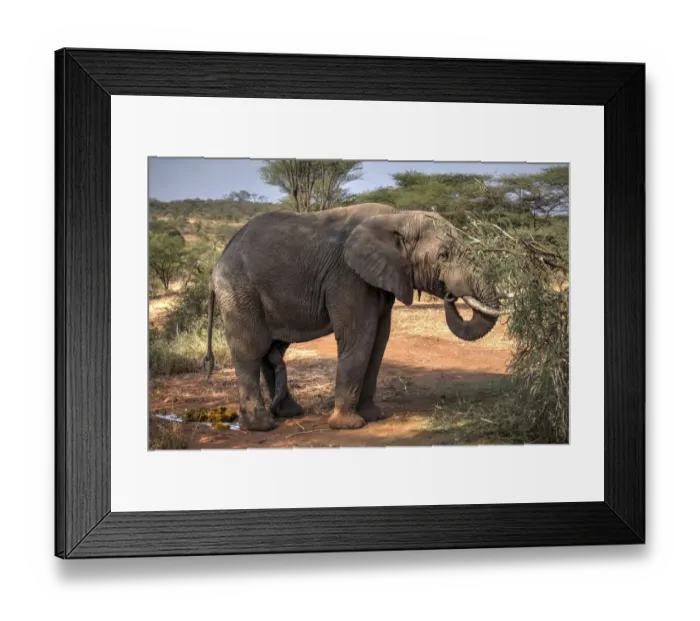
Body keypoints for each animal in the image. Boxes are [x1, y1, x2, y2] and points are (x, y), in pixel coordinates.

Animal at [203, 203, 502, 431]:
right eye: (443, 255)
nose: (450, 294)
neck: (397, 217)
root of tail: (217, 263)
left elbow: (379, 342)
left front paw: (374, 417)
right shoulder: (348, 277)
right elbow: (360, 339)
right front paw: (349, 425)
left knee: (272, 350)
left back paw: (288, 413)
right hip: (239, 290)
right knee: (251, 350)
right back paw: (262, 425)